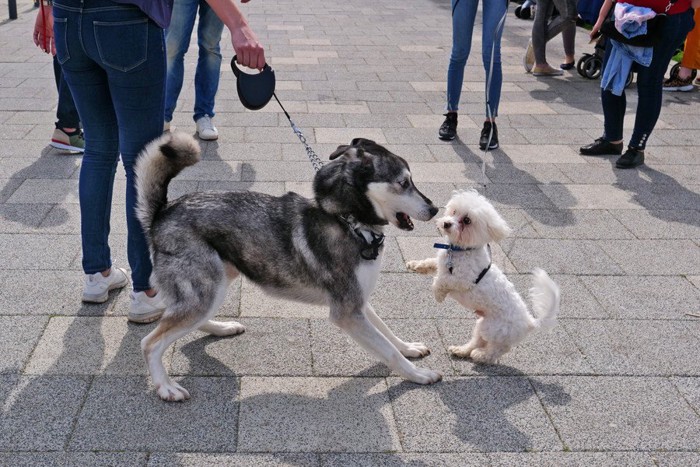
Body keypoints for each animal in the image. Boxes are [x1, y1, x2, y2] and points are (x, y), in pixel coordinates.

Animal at [135, 133, 442, 402]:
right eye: (403, 183)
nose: (436, 209)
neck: (348, 221)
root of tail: (163, 212)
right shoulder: (347, 312)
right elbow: (387, 351)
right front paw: (418, 375)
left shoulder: (359, 300)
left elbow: (387, 332)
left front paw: (408, 348)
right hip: (205, 287)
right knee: (150, 343)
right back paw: (166, 387)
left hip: (217, 281)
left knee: (190, 317)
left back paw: (221, 328)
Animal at [404, 190, 556, 366]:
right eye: (454, 212)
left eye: (467, 221)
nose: (447, 223)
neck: (460, 250)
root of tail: (530, 322)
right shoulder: (442, 264)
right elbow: (432, 264)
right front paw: (416, 265)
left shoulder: (463, 279)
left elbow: (442, 280)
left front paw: (438, 294)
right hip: (483, 324)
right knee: (477, 341)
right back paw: (461, 350)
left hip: (494, 329)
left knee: (498, 349)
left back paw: (481, 356)